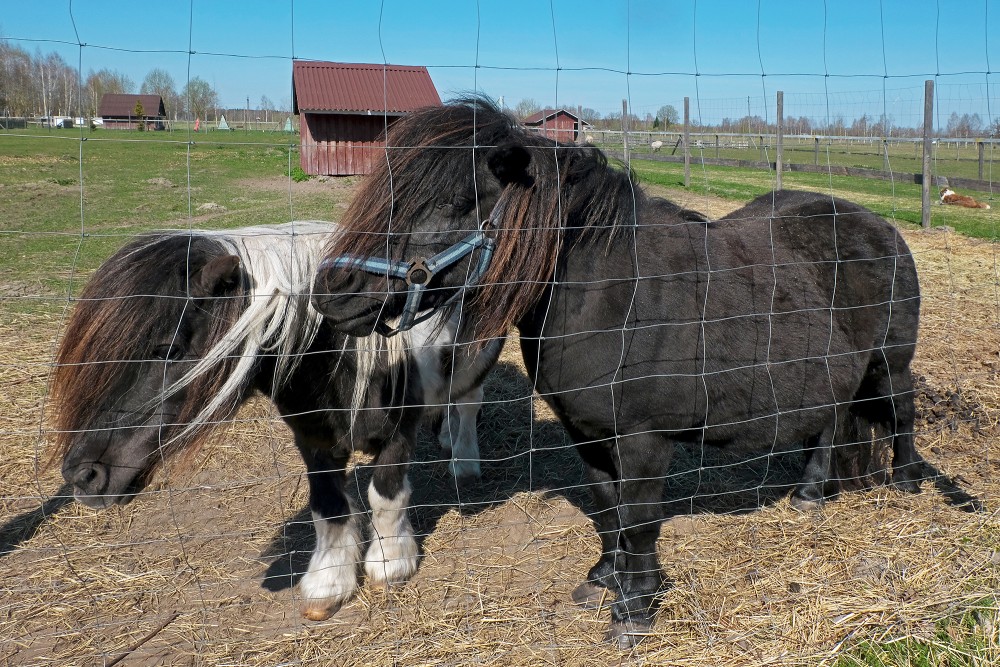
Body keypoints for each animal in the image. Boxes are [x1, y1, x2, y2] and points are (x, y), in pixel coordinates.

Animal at [54, 220, 500, 620]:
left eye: (169, 350)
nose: (82, 476)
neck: (352, 357)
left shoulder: (398, 436)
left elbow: (386, 497)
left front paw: (390, 565)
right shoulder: (314, 440)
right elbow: (329, 506)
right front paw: (328, 583)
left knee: (469, 401)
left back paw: (464, 460)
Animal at [310, 99, 920, 648]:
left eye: (453, 203)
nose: (331, 292)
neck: (611, 298)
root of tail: (879, 224)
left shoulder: (645, 439)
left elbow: (641, 519)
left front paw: (636, 609)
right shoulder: (586, 432)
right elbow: (608, 508)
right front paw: (605, 578)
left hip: (890, 363)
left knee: (902, 412)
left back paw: (909, 481)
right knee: (830, 420)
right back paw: (811, 493)